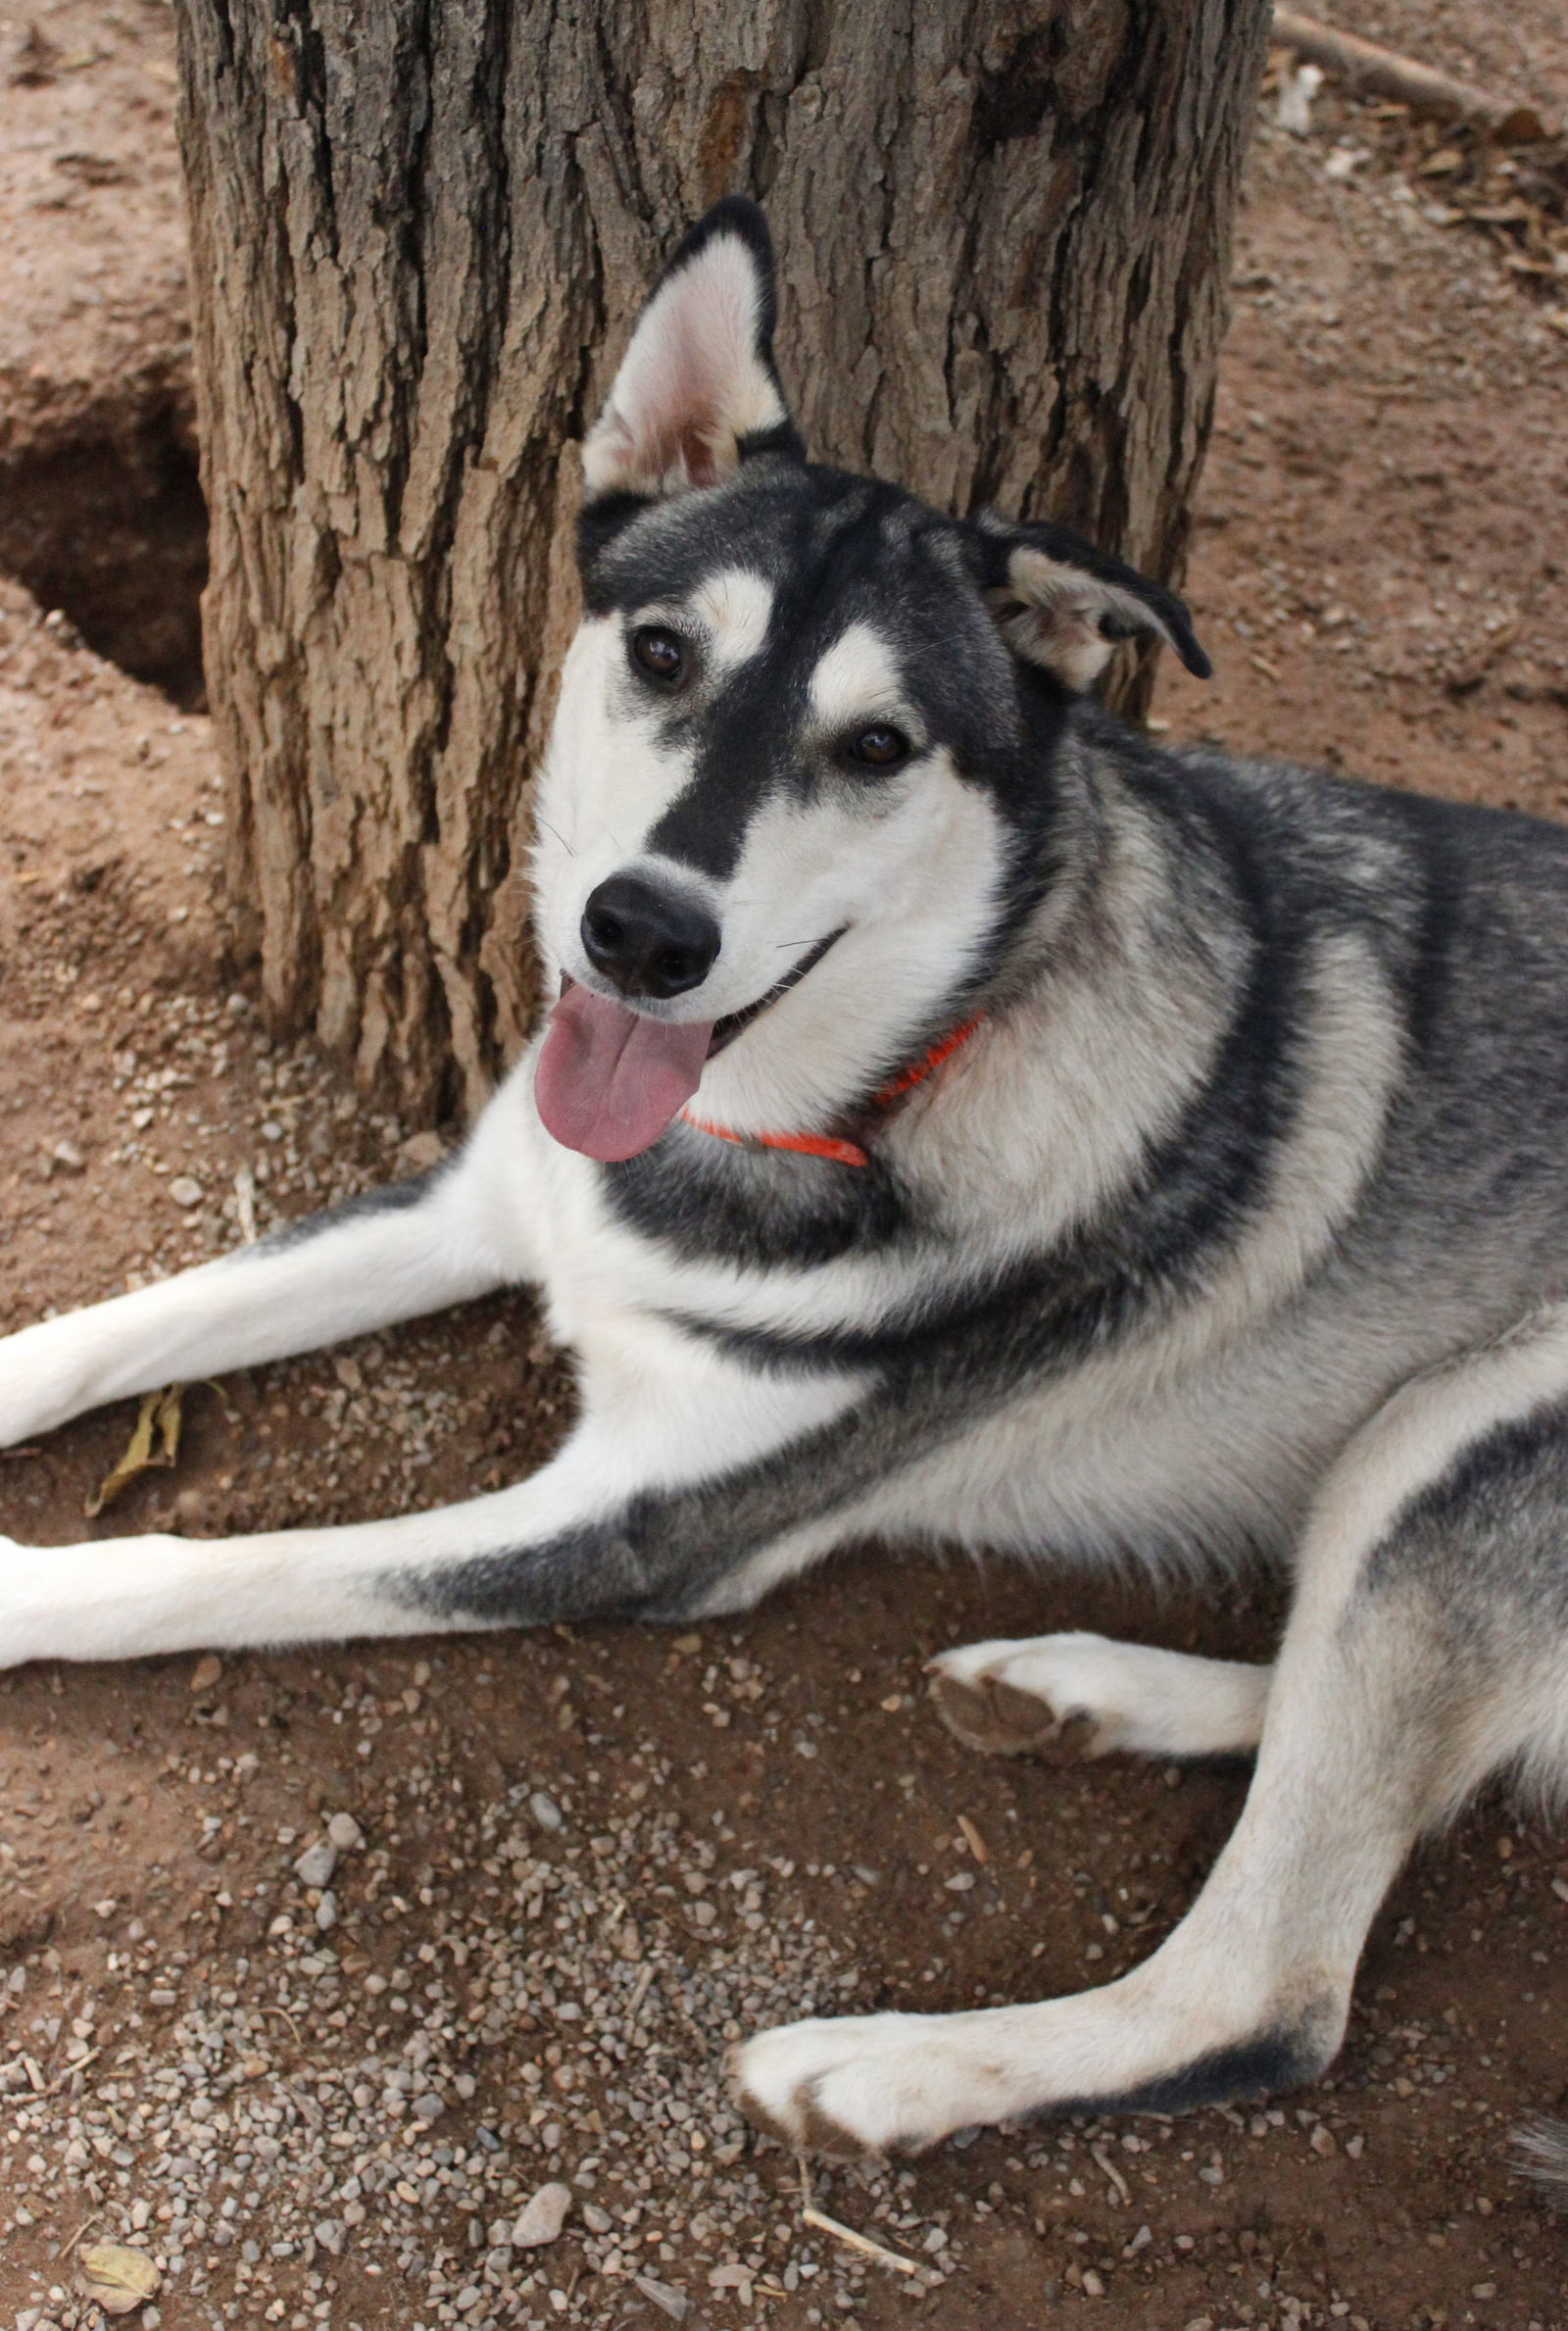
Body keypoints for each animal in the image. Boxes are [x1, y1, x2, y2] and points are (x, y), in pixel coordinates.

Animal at [3, 200, 1565, 2162]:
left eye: (880, 746)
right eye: (664, 652)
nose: (642, 931)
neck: (821, 1110)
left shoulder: (641, 1521)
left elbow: (211, 1570)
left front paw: (22, 1589)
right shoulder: (481, 1203)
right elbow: (113, 1329)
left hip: (1464, 1428)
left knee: (1268, 1990)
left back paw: (891, 2067)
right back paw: (1086, 1688)